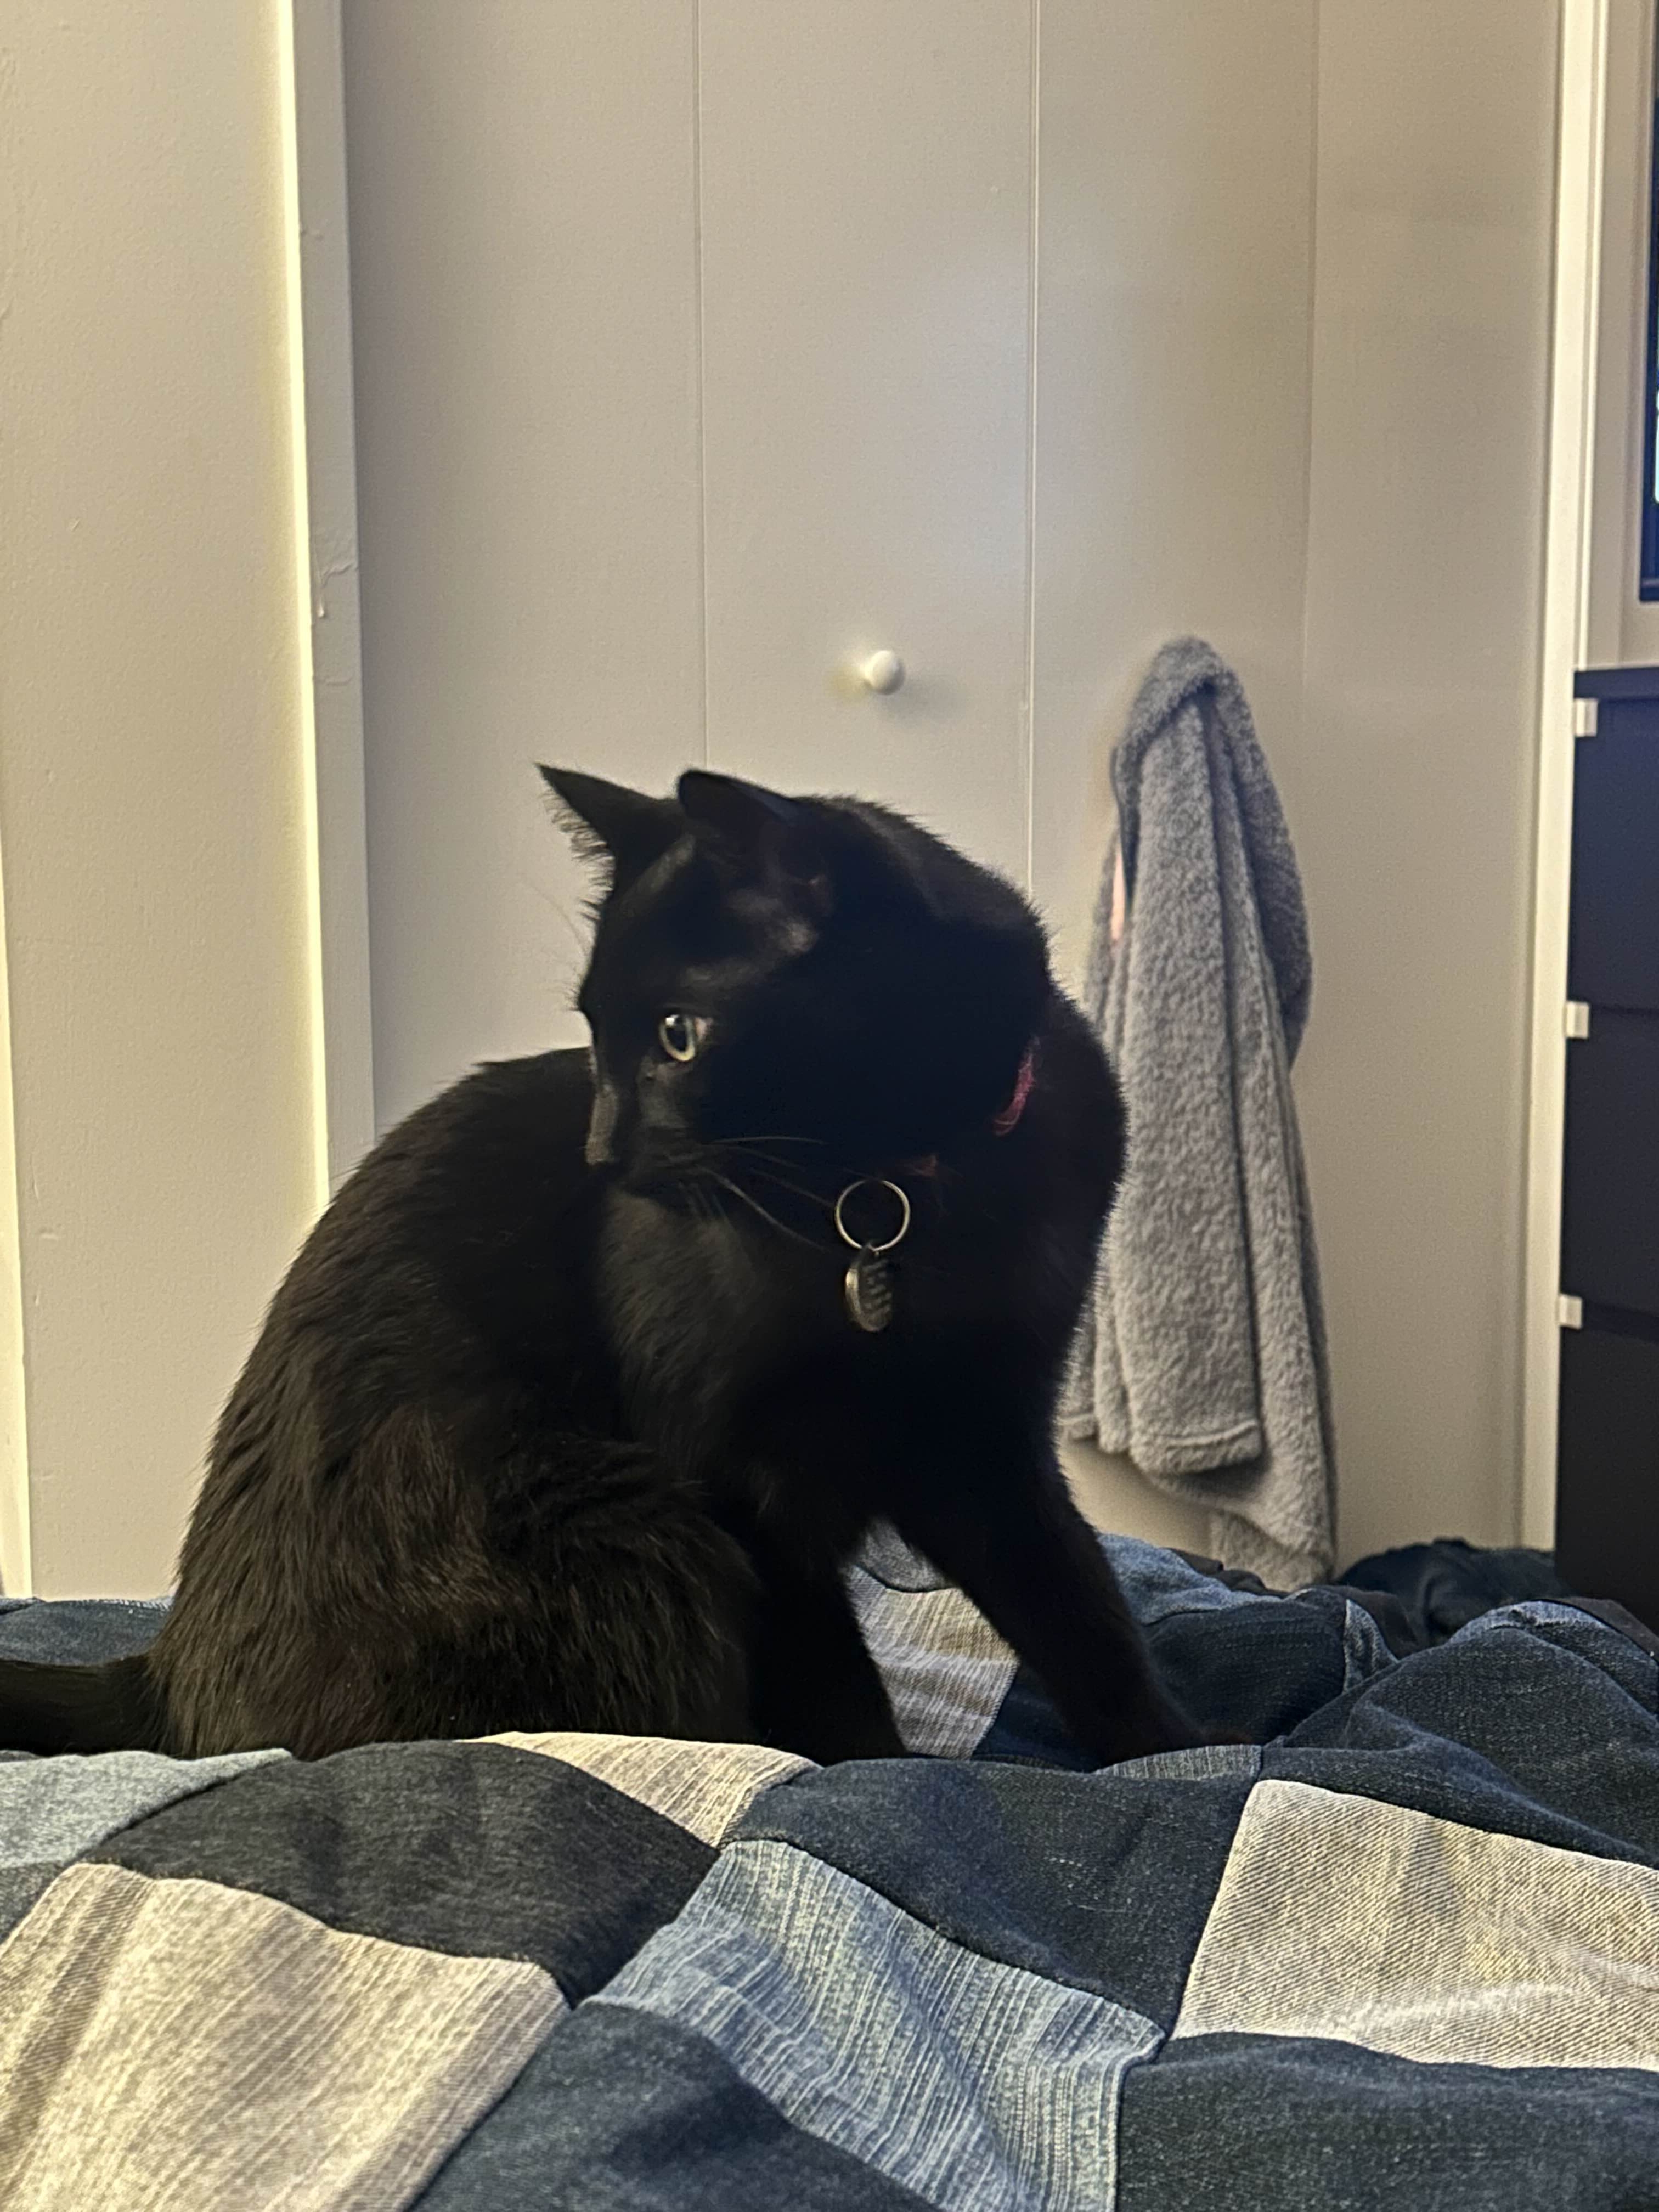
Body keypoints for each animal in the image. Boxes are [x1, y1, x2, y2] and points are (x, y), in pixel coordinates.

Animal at [0, 770, 1203, 1769]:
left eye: (678, 1034)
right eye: (592, 1029)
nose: (599, 1150)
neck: (900, 1195)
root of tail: (161, 1680)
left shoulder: (982, 1439)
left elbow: (1075, 1602)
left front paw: (1173, 1751)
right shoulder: (737, 1487)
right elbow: (834, 1677)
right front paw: (882, 1783)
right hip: (634, 1532)